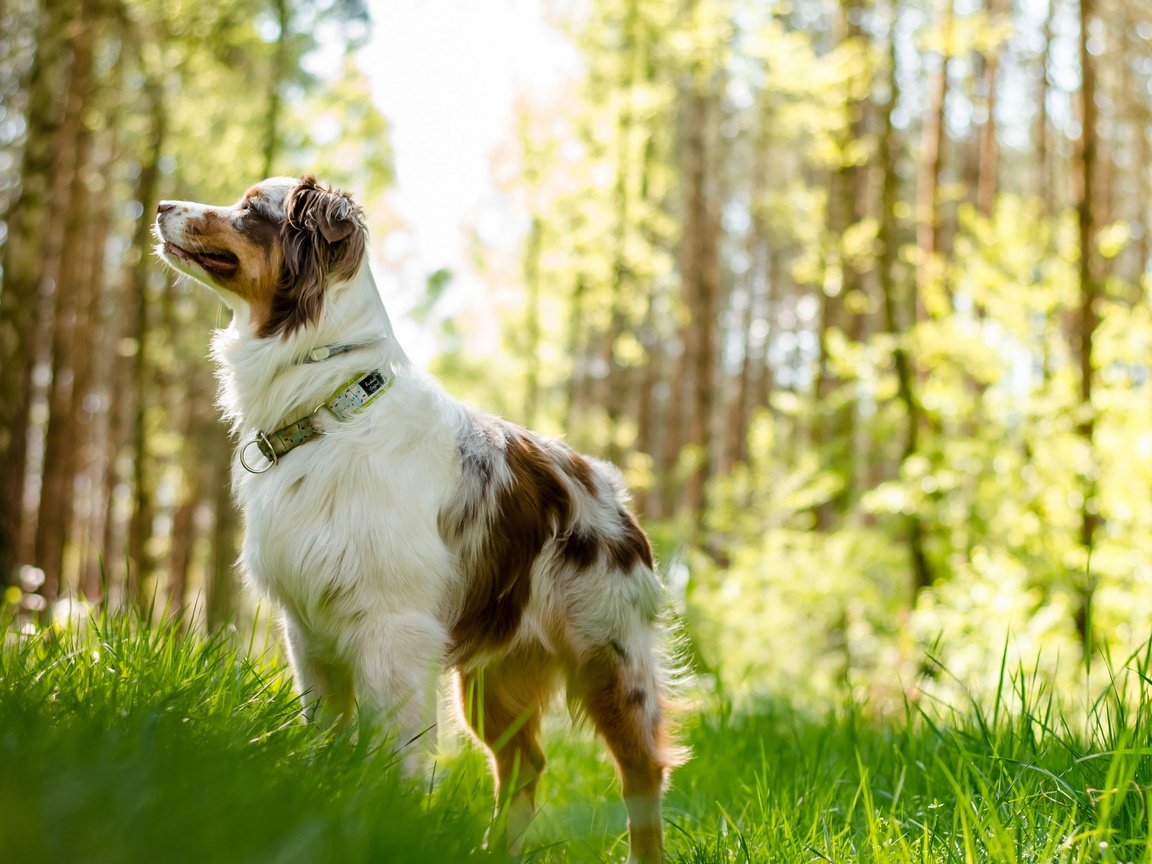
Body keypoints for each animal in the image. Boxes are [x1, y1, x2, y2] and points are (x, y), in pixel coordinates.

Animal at [154, 177, 681, 864]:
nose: (160, 206)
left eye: (250, 209)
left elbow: (392, 757)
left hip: (610, 661)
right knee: (526, 767)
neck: (329, 403)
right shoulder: (308, 631)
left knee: (641, 772)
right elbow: (326, 740)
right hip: (492, 679)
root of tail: (610, 489)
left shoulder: (393, 633)